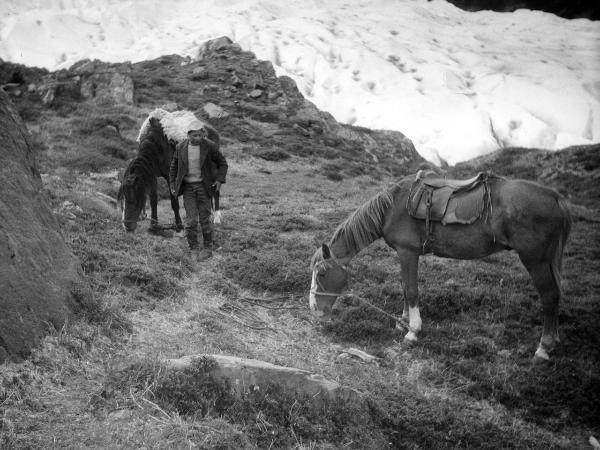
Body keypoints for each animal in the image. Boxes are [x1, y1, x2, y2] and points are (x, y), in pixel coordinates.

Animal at [310, 171, 572, 360]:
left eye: (321, 273)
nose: (314, 309)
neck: (392, 207)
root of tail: (556, 197)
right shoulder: (405, 255)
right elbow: (404, 286)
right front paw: (402, 322)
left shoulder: (408, 252)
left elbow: (411, 290)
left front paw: (413, 330)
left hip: (536, 261)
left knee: (550, 297)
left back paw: (544, 348)